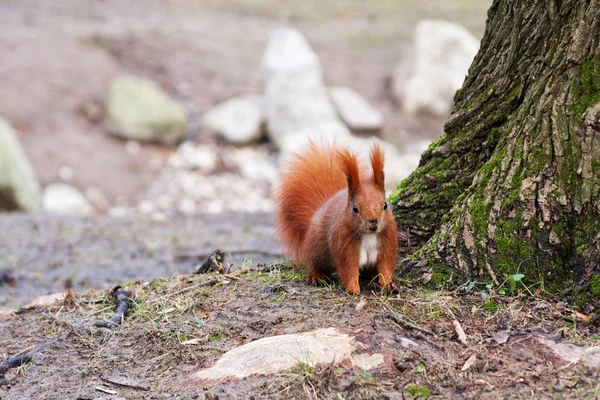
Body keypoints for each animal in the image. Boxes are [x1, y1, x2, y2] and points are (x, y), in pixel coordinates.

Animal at [276, 141, 398, 294]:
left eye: (385, 205)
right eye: (355, 208)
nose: (373, 224)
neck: (368, 235)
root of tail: (322, 206)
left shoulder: (387, 241)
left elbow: (385, 266)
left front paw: (388, 284)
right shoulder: (344, 245)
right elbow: (348, 269)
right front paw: (353, 288)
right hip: (316, 248)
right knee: (313, 263)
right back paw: (317, 276)